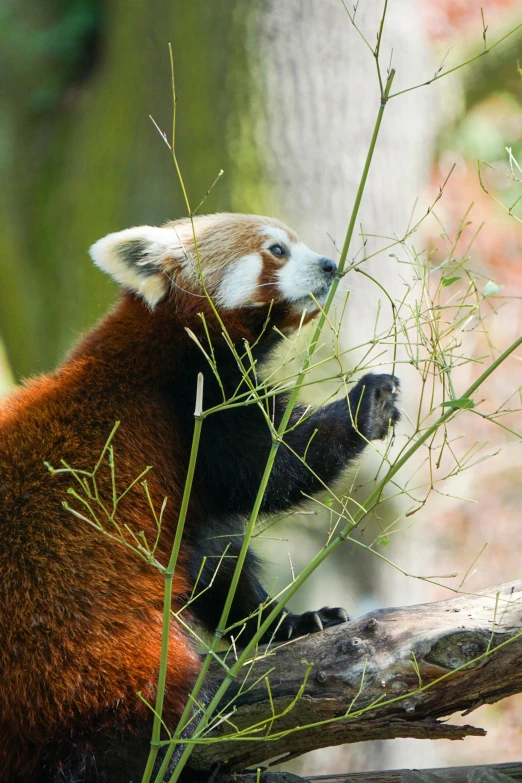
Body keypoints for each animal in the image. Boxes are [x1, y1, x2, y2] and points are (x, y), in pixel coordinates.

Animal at [0, 214, 398, 783]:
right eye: (277, 250)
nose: (329, 265)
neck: (168, 339)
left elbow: (217, 564)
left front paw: (284, 623)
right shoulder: (194, 405)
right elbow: (268, 468)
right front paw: (365, 404)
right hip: (75, 643)